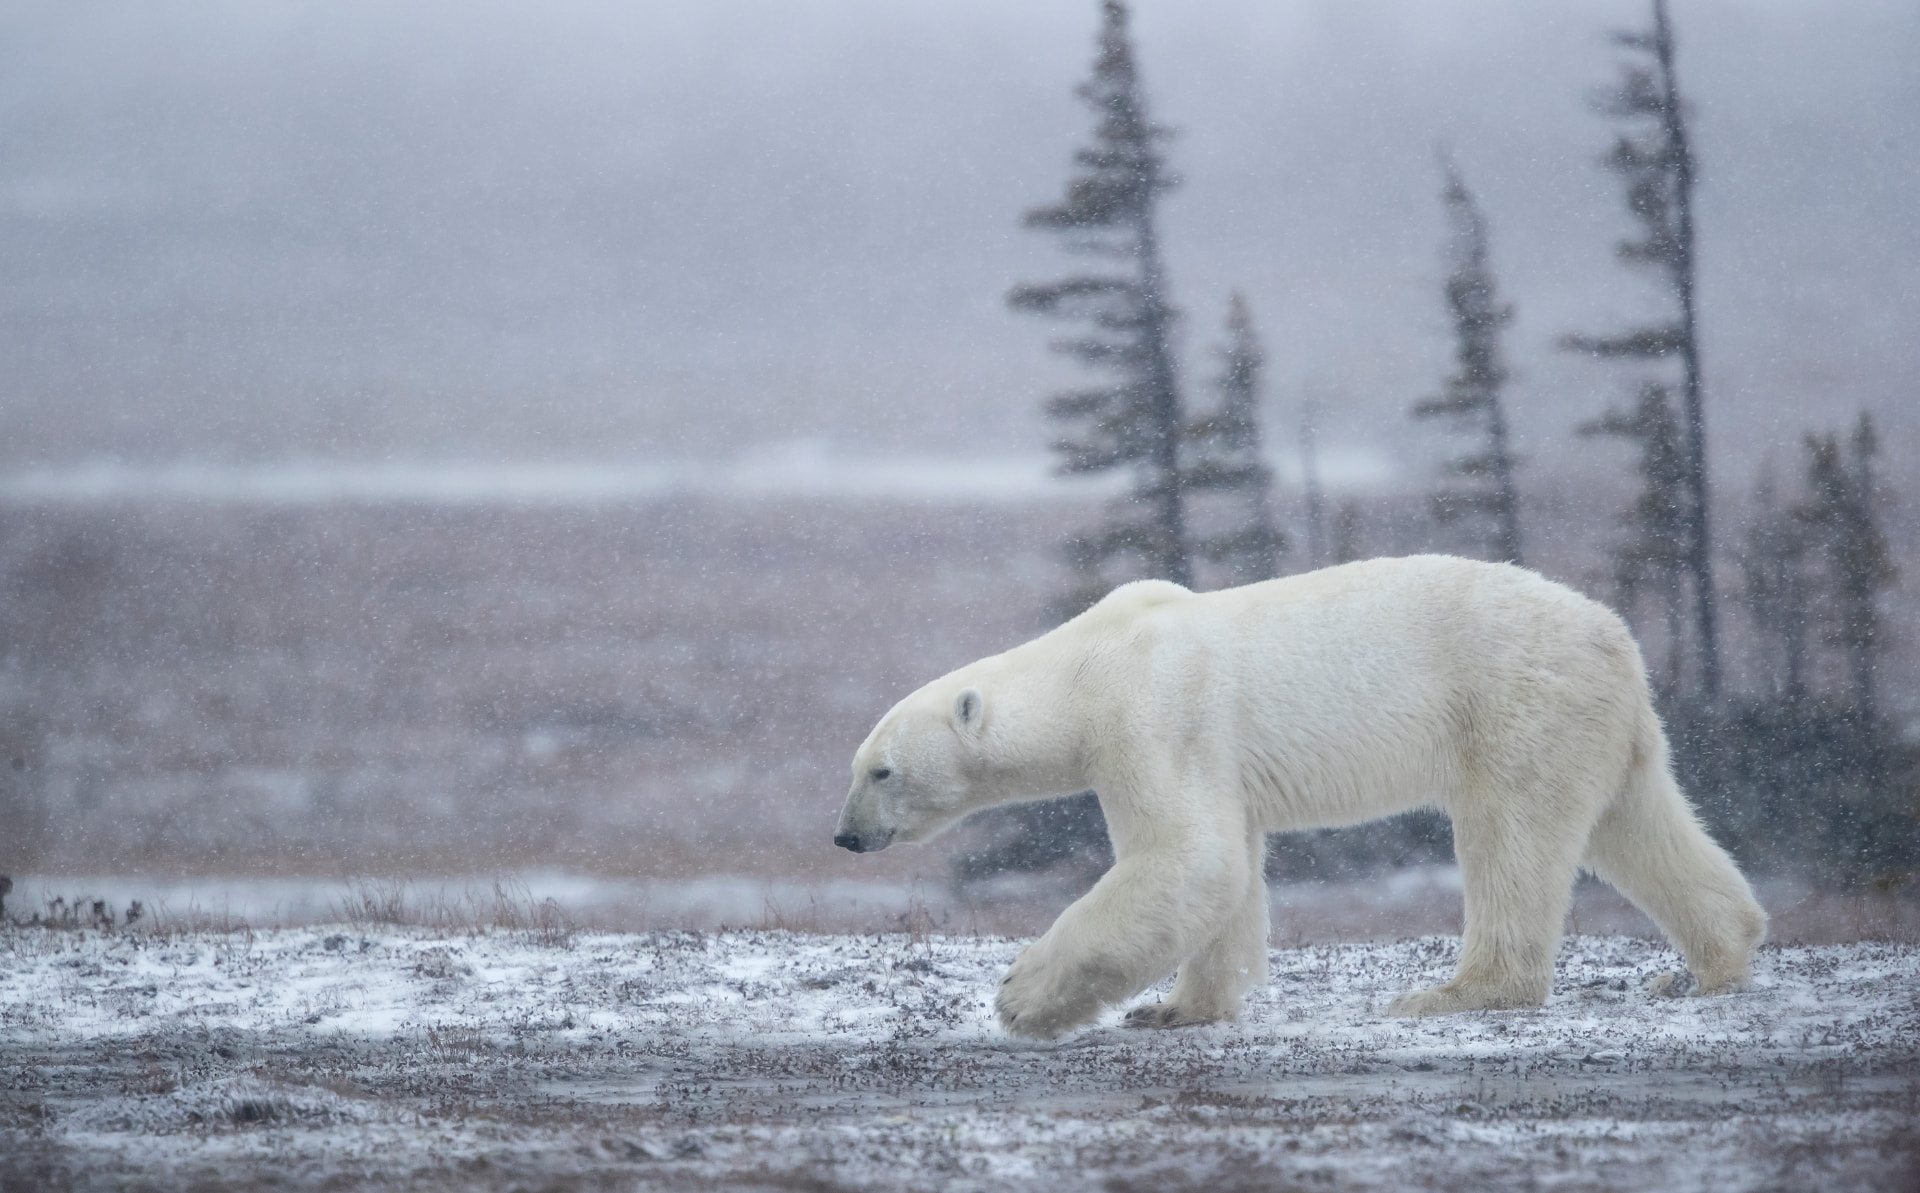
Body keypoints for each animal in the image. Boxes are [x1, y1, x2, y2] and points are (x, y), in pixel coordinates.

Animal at [833, 555, 1767, 1039]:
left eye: (880, 770)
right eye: (856, 764)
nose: (844, 836)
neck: (1090, 663)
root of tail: (1616, 638)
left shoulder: (1157, 715)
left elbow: (1186, 857)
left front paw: (1023, 997)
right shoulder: (1203, 756)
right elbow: (1227, 871)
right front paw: (1176, 1009)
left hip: (1515, 704)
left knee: (1511, 839)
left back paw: (1457, 990)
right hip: (1598, 725)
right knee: (1637, 823)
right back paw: (1709, 962)